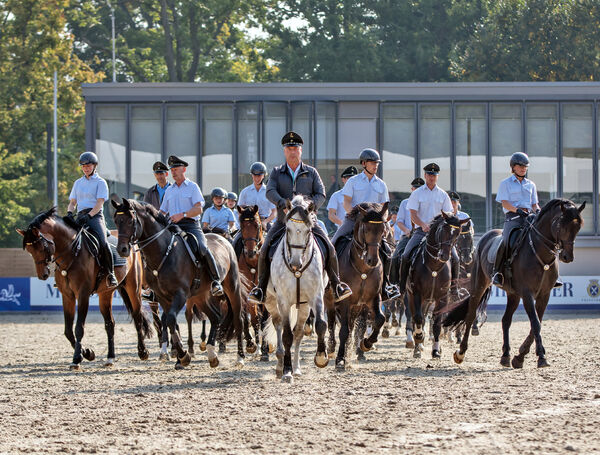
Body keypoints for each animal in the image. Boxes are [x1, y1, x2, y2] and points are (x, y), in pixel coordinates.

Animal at [17, 208, 154, 368]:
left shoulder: (83, 295)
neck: (72, 253)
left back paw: (143, 352)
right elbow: (68, 330)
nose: (43, 275)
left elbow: (79, 328)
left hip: (134, 288)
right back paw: (110, 357)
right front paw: (88, 353)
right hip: (106, 294)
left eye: (42, 247)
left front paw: (77, 358)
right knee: (110, 324)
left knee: (137, 317)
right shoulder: (67, 297)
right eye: (29, 250)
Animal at [111, 200, 245, 370]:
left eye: (130, 221)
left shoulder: (180, 294)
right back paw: (212, 355)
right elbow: (170, 322)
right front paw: (180, 357)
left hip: (232, 287)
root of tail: (224, 240)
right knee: (215, 317)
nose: (122, 250)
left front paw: (183, 355)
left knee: (238, 319)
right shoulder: (162, 297)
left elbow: (170, 320)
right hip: (200, 296)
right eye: (116, 221)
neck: (164, 253)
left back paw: (240, 357)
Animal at [264, 197, 328, 384]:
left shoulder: (316, 296)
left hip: (304, 306)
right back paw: (280, 366)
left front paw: (321, 358)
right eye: (288, 229)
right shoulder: (283, 301)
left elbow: (321, 325)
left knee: (298, 332)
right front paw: (287, 371)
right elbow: (286, 335)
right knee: (278, 325)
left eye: (308, 230)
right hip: (271, 301)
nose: (295, 264)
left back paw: (297, 368)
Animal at [328, 202, 390, 370]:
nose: (372, 260)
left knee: (355, 327)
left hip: (358, 307)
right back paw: (330, 350)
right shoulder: (345, 302)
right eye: (366, 229)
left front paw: (366, 344)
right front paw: (340, 360)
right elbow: (343, 330)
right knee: (331, 322)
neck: (362, 269)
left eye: (382, 230)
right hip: (330, 301)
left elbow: (379, 319)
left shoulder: (373, 298)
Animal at [442, 198, 584, 368]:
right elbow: (535, 323)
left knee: (505, 320)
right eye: (561, 225)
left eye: (578, 226)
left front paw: (520, 357)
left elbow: (537, 323)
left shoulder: (544, 295)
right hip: (479, 285)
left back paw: (505, 356)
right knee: (470, 315)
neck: (538, 253)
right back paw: (461, 353)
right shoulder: (527, 293)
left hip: (513, 294)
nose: (567, 257)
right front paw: (541, 357)